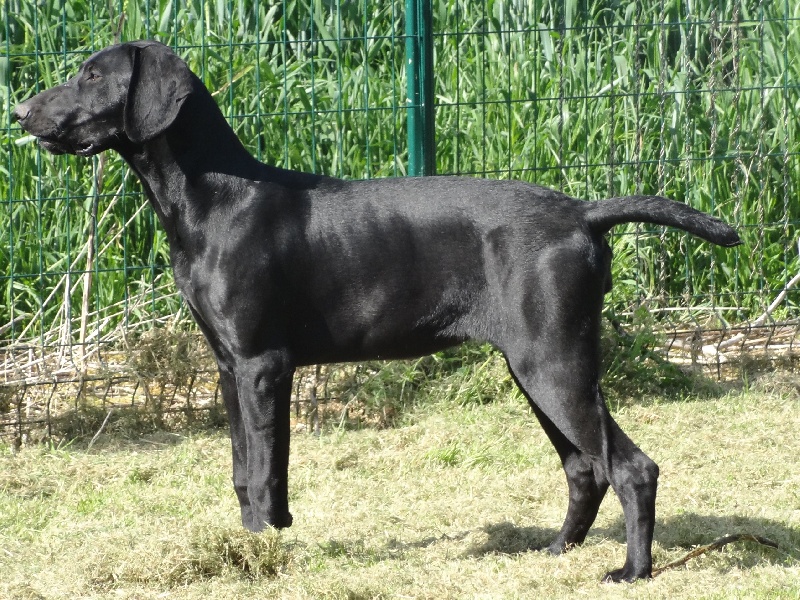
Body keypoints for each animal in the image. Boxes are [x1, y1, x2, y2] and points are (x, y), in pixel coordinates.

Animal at [12, 39, 740, 580]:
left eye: (93, 75)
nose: (18, 112)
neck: (215, 198)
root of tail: (583, 213)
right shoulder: (228, 368)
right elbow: (248, 471)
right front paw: (261, 543)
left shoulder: (261, 366)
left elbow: (261, 470)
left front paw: (262, 555)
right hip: (537, 365)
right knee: (585, 467)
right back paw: (559, 549)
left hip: (553, 363)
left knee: (630, 468)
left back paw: (633, 570)